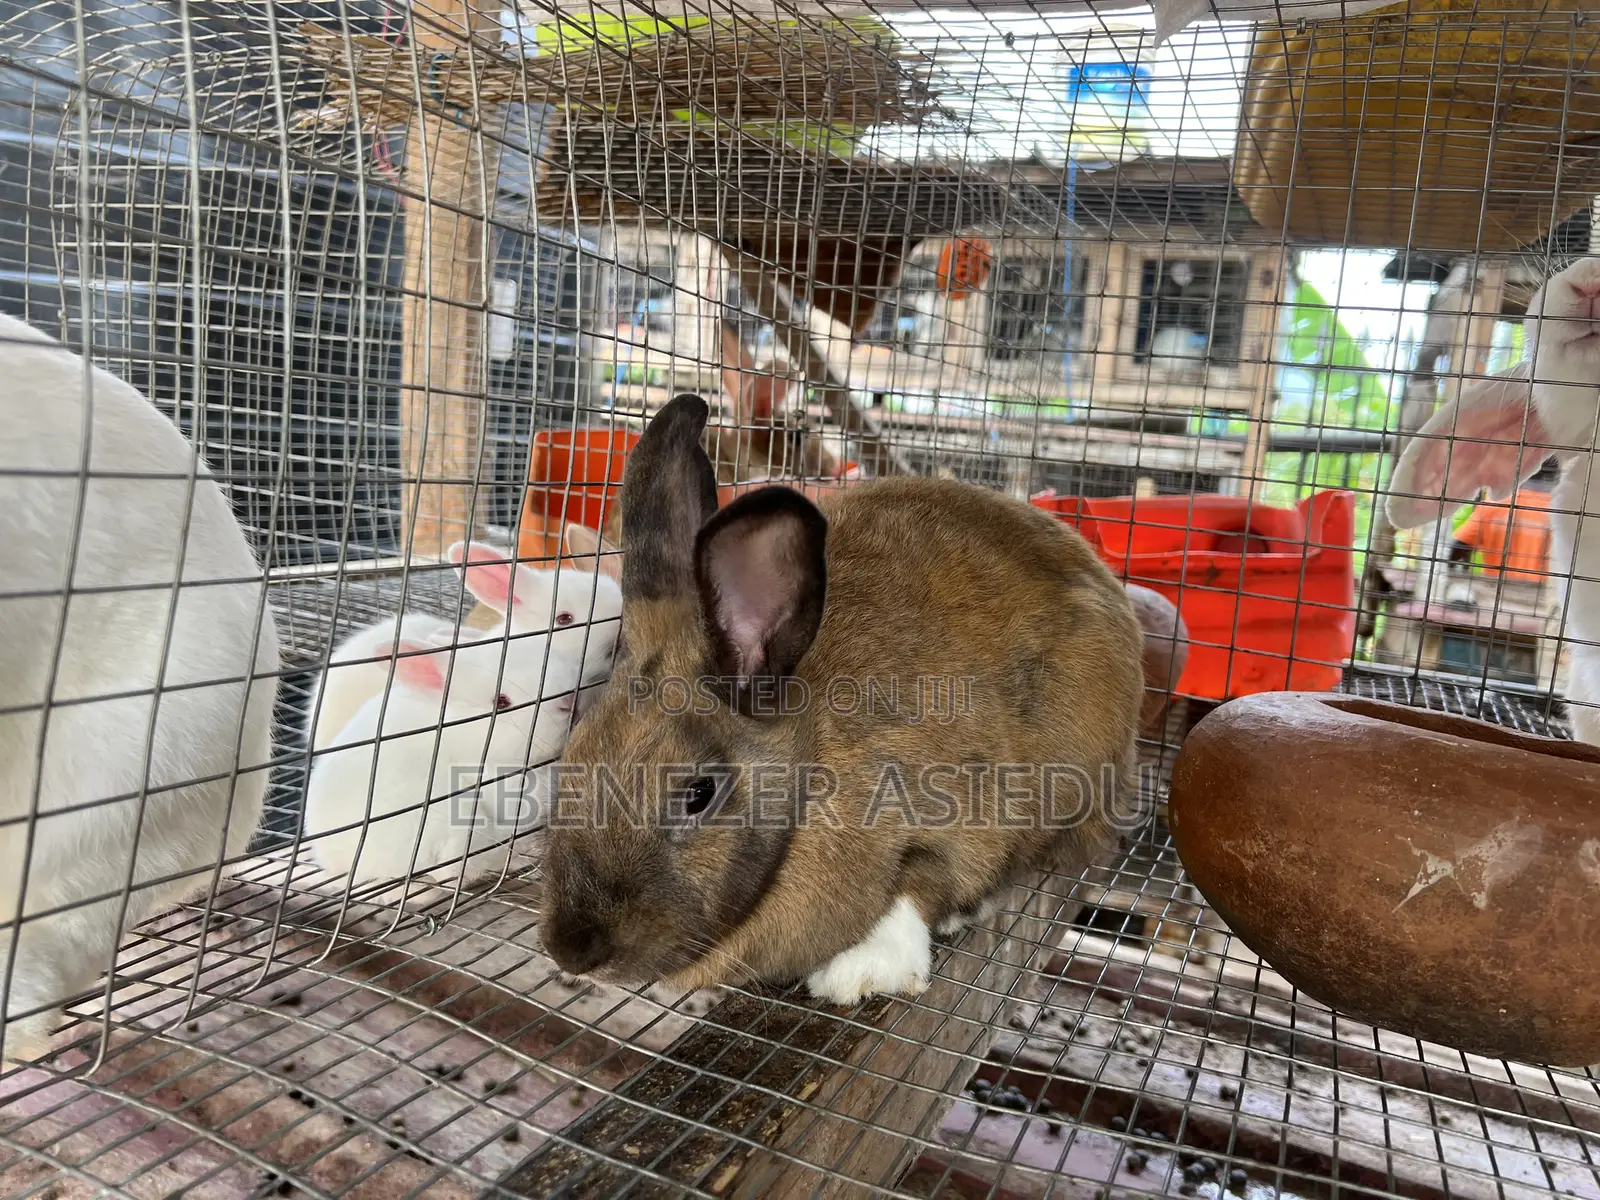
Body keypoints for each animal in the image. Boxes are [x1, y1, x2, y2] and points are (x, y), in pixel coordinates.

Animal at [538, 394, 1145, 1007]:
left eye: (698, 794)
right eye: (572, 757)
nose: (573, 950)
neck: (813, 762)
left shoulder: (963, 811)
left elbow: (916, 884)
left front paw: (861, 972)